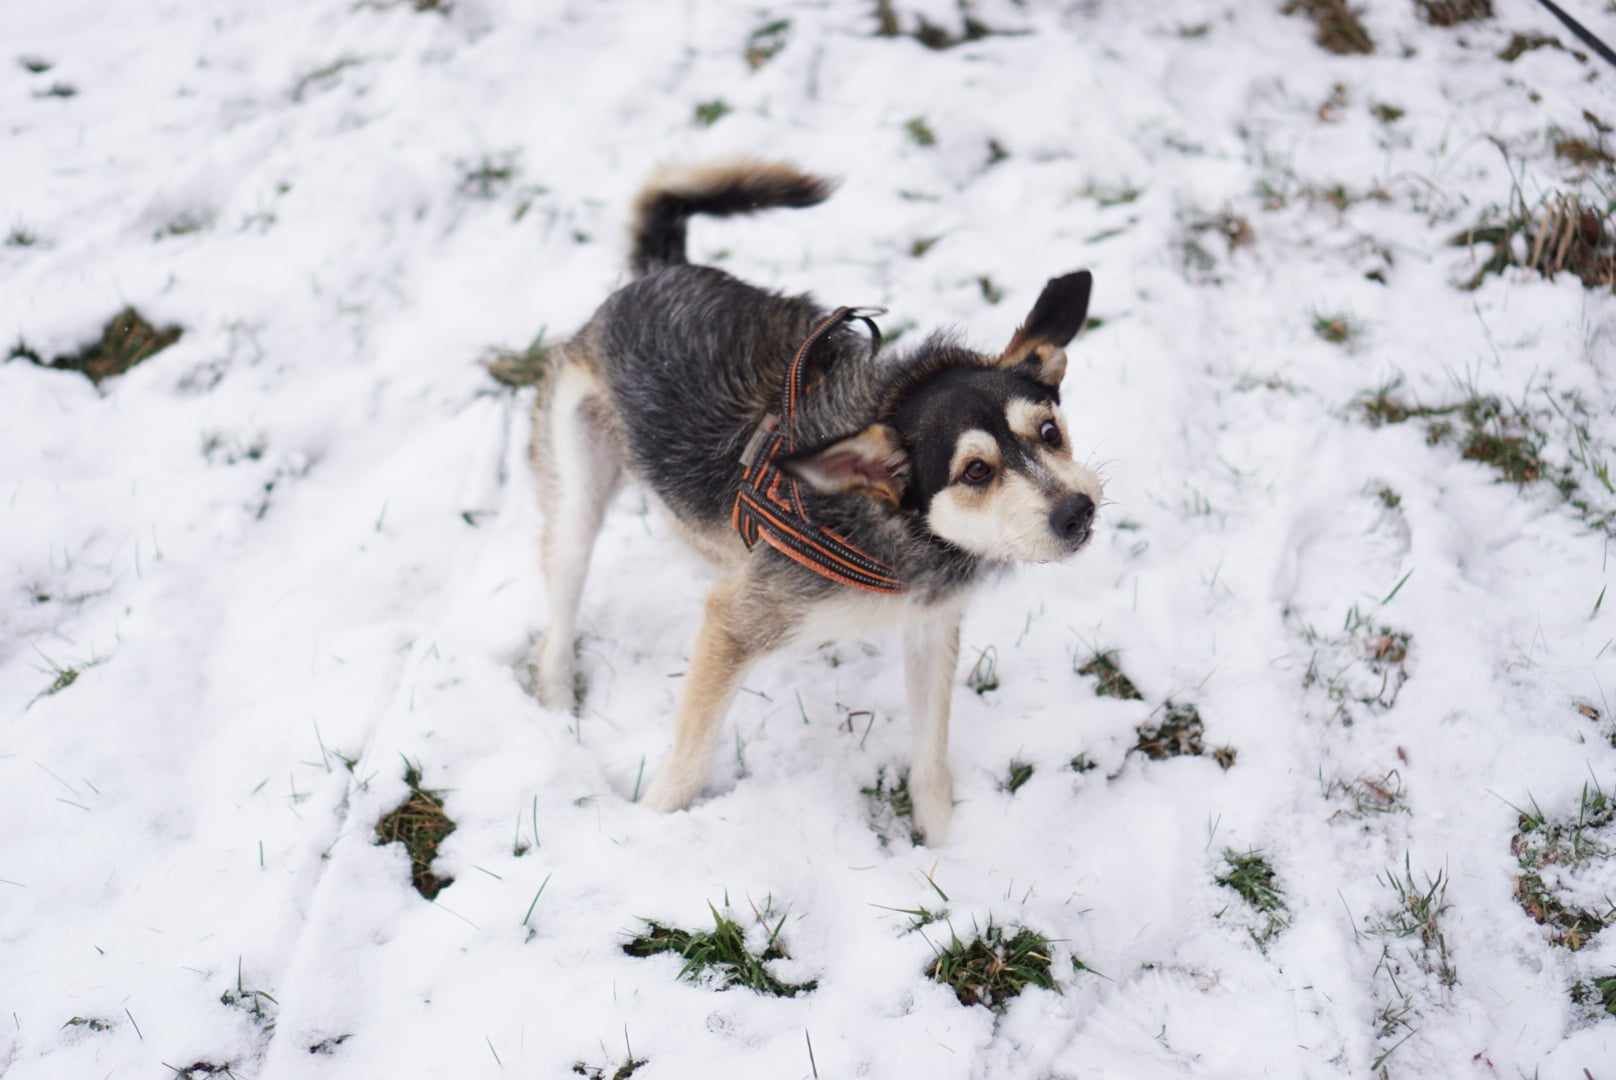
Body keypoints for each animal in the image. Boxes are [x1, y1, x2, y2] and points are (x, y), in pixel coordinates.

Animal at [530, 158, 1098, 840]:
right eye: (976, 471)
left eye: (1050, 432)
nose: (1077, 511)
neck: (888, 529)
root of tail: (657, 273)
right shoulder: (735, 624)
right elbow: (689, 760)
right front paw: (650, 827)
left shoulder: (930, 627)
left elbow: (930, 760)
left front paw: (943, 846)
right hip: (576, 489)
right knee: (562, 599)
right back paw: (556, 704)